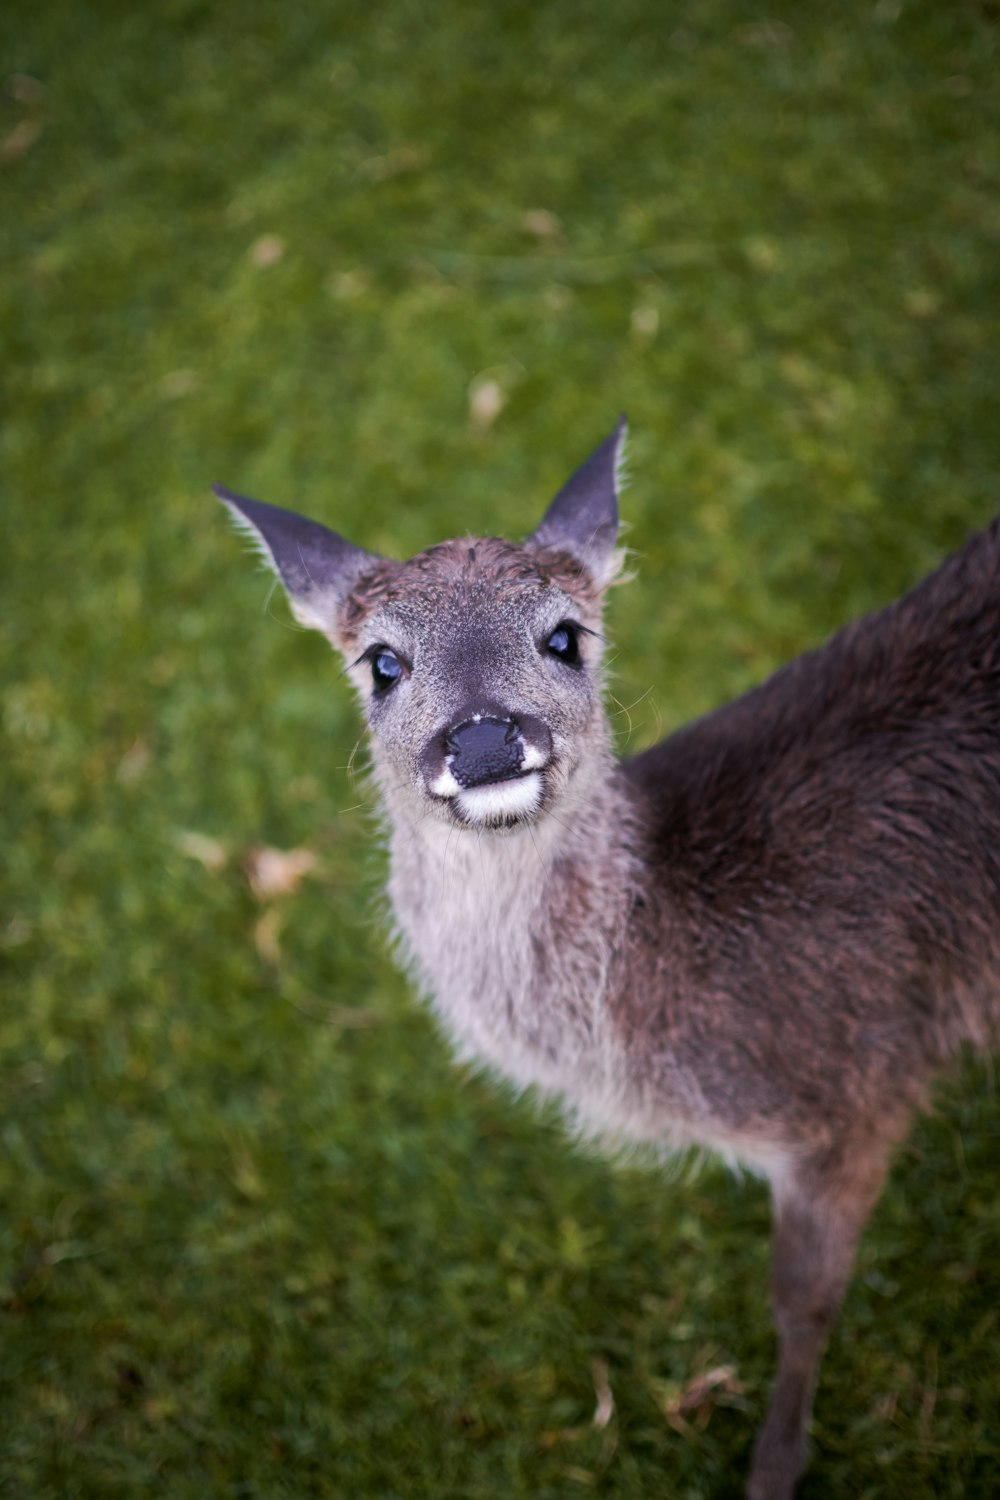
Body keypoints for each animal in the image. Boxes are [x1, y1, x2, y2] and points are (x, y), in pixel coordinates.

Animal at [217, 423, 1000, 1500]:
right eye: (382, 662)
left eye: (564, 636)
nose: (485, 740)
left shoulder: (858, 1083)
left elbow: (802, 1299)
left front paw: (773, 1464)